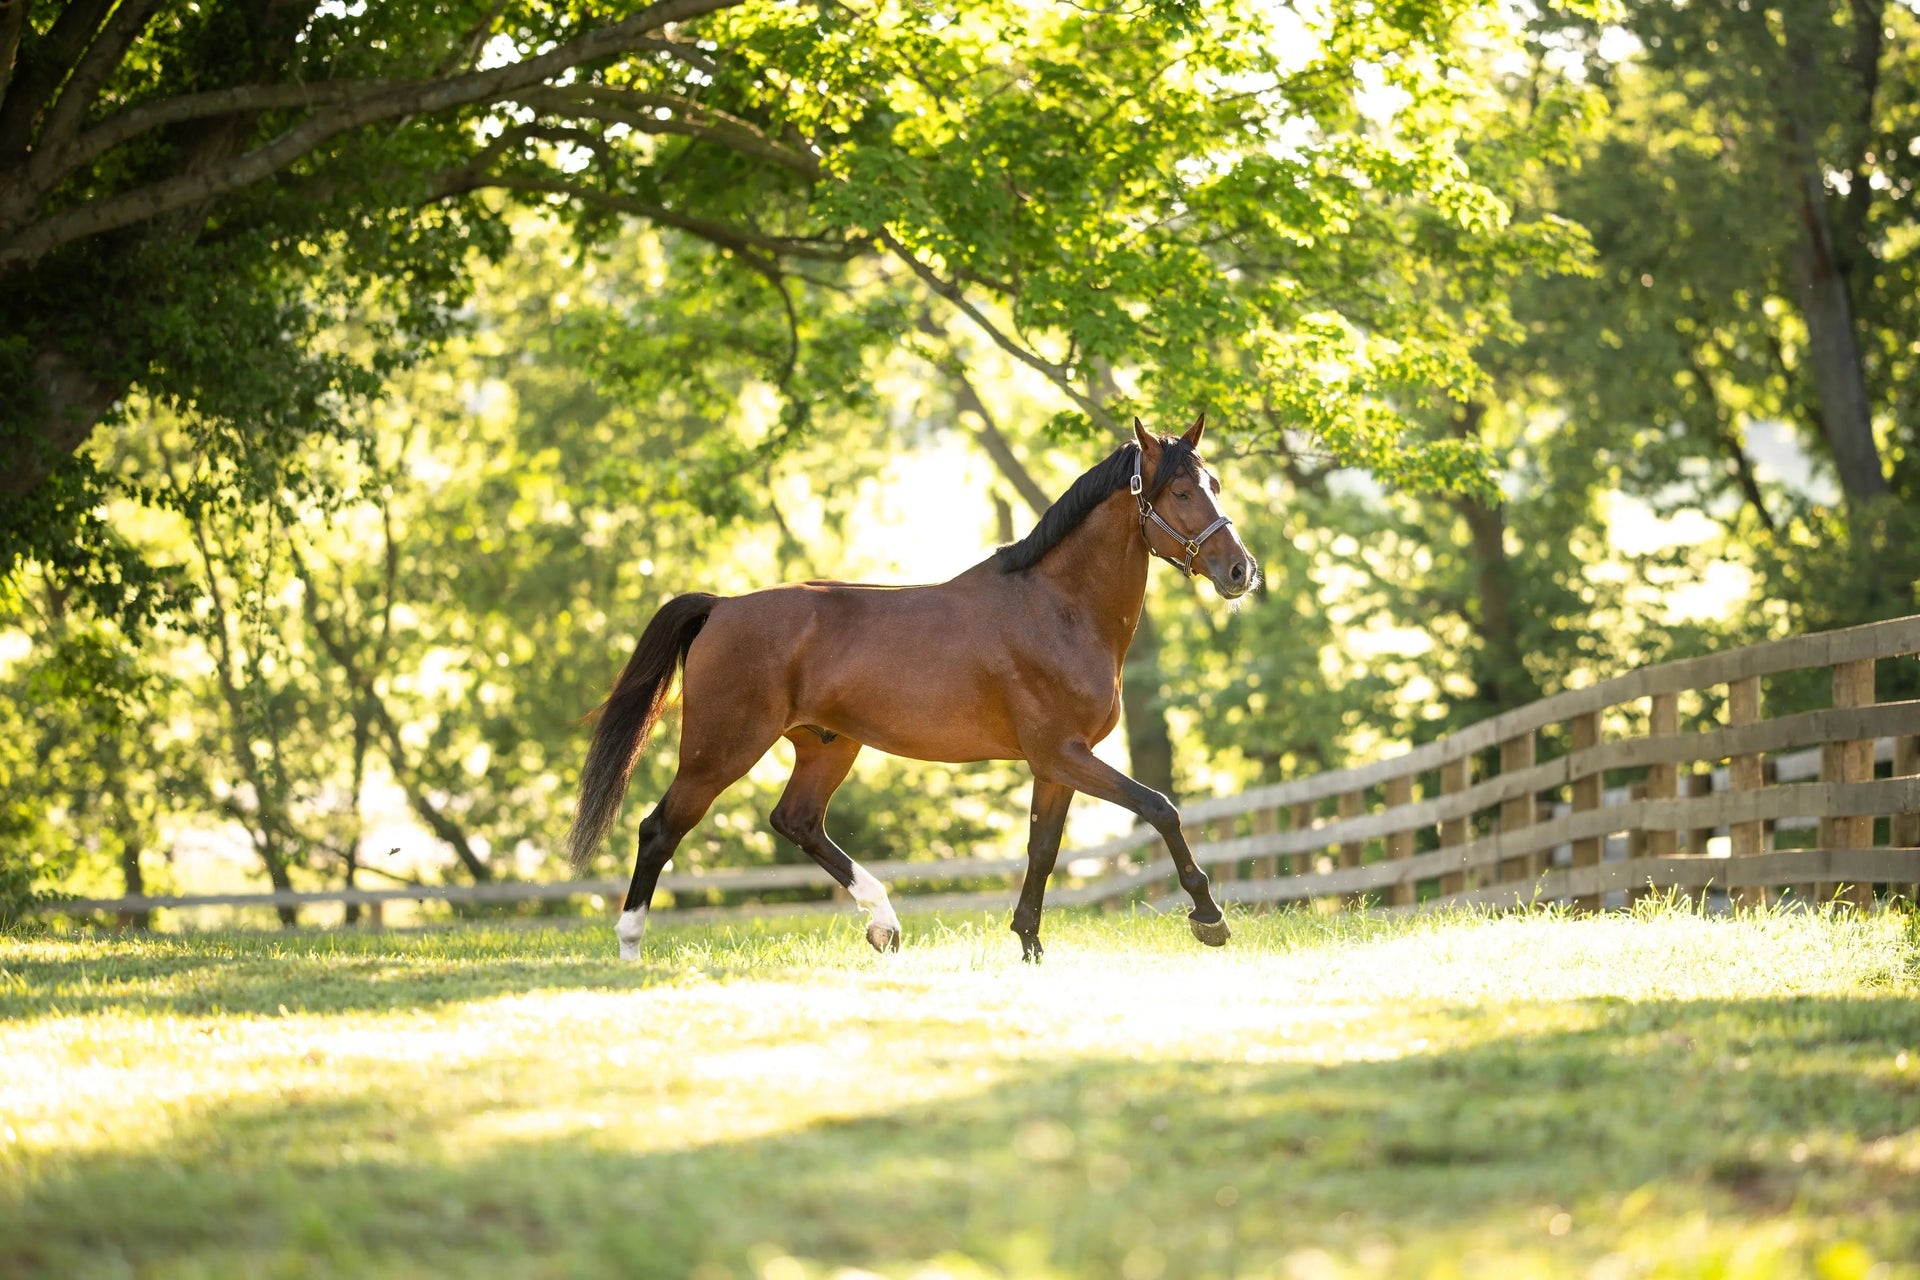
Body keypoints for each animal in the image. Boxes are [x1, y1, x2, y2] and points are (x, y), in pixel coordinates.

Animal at [566, 414, 1259, 960]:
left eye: (1216, 485)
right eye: (1179, 491)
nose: (1240, 570)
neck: (1055, 607)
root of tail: (722, 607)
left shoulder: (1056, 764)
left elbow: (1042, 850)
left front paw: (1029, 944)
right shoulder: (1064, 754)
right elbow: (1161, 808)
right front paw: (1209, 918)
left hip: (827, 746)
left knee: (796, 821)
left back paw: (884, 924)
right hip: (719, 752)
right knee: (659, 829)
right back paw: (630, 949)